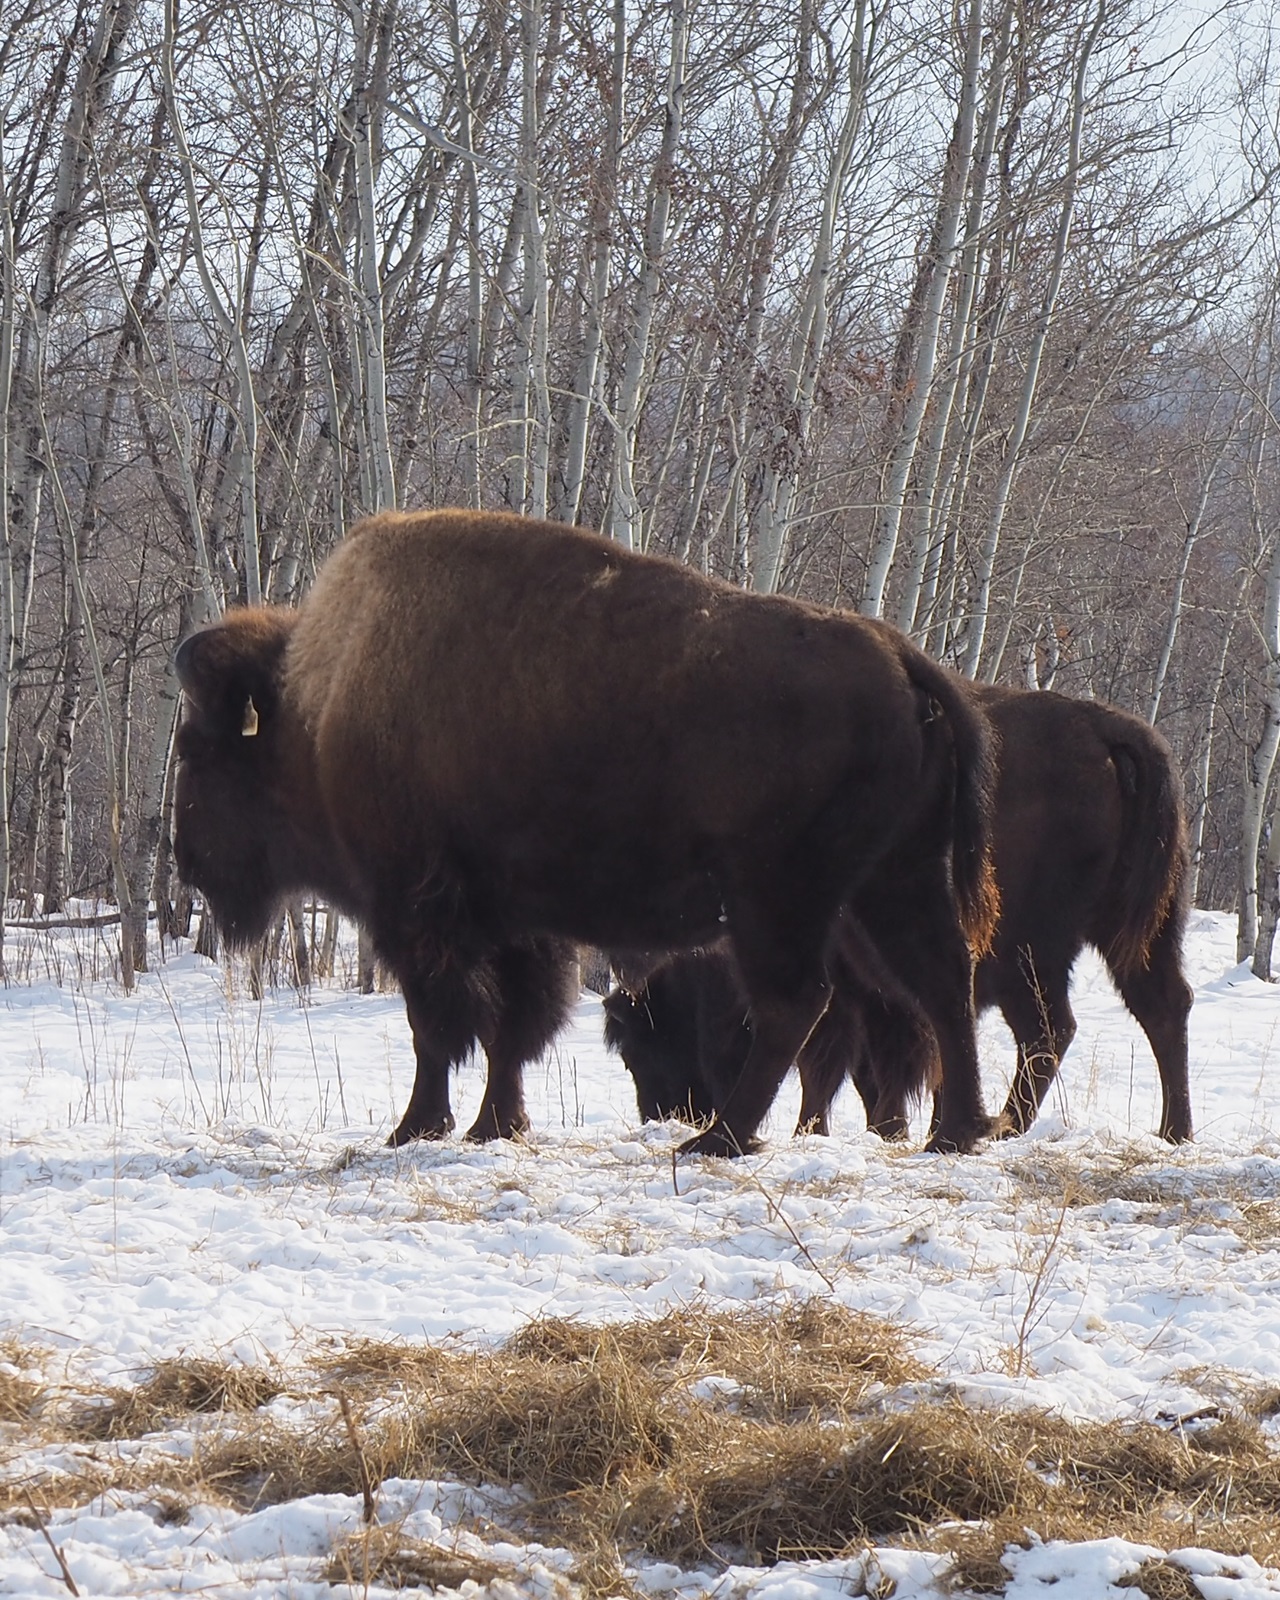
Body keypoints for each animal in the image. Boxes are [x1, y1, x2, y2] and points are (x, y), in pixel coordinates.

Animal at [174, 508, 998, 1156]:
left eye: (195, 753)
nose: (187, 864)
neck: (317, 705)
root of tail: (900, 654)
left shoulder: (417, 914)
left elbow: (439, 1025)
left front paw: (416, 1128)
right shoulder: (514, 924)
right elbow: (511, 1027)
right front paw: (495, 1126)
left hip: (779, 897)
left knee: (798, 1003)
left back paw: (720, 1140)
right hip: (889, 881)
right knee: (941, 980)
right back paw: (953, 1134)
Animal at [605, 684, 1193, 1145]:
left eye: (639, 1048)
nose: (663, 1113)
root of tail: (1107, 732)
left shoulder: (853, 988)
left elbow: (841, 1062)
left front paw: (838, 1129)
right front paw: (896, 1128)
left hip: (1027, 952)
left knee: (1049, 1029)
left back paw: (1008, 1126)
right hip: (1138, 932)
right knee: (1162, 1007)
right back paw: (1171, 1132)